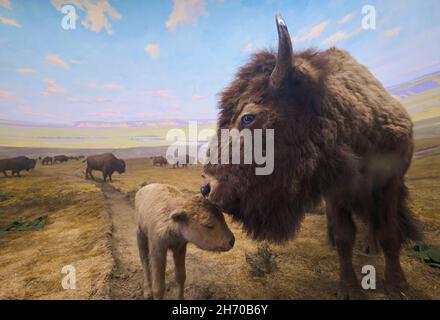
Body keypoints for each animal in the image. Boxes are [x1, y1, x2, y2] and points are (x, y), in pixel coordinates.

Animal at [201, 14, 422, 300]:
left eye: (248, 117)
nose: (206, 187)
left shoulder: (389, 182)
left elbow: (389, 232)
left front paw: (397, 285)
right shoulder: (336, 191)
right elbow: (344, 236)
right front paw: (349, 288)